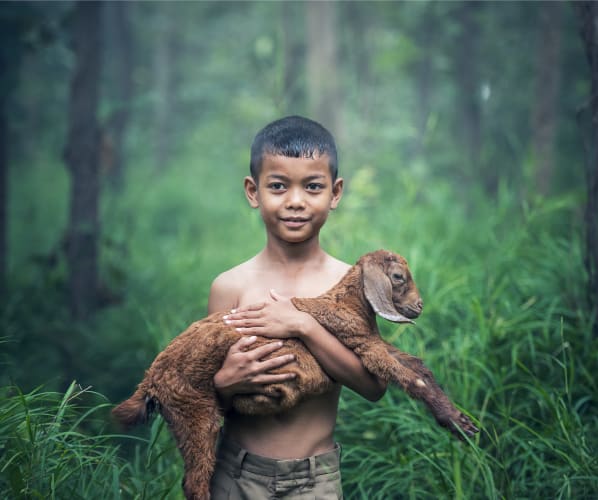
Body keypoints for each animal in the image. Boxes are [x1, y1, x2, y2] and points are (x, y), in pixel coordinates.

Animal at [111, 250, 478, 500]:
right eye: (398, 277)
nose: (419, 306)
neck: (347, 305)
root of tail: (150, 382)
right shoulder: (362, 345)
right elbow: (412, 379)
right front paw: (457, 422)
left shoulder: (372, 342)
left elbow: (419, 366)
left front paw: (461, 422)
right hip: (193, 411)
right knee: (195, 481)